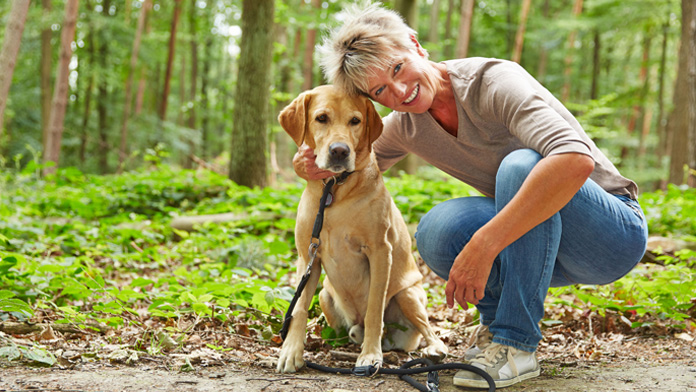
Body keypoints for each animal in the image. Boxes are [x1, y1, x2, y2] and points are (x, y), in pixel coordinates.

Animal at [276, 86, 446, 374]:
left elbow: (375, 309)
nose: (340, 151)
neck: (334, 190)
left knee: (427, 330)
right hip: (325, 295)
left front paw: (370, 355)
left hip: (409, 296)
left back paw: (433, 348)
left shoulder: (379, 252)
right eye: (321, 118)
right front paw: (291, 351)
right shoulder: (307, 255)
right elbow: (299, 308)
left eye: (355, 121)